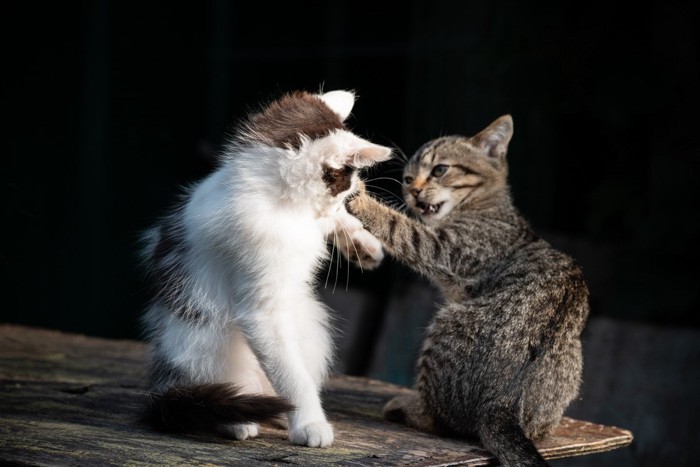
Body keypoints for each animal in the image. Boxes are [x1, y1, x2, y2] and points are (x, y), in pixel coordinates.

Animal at [141, 89, 394, 448]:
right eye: (342, 188)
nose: (336, 206)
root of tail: (163, 384)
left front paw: (361, 243)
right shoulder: (261, 308)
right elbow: (291, 374)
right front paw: (310, 423)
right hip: (202, 345)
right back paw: (235, 421)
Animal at [348, 114, 588, 467]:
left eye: (439, 170)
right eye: (407, 178)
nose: (412, 191)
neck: (485, 206)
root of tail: (501, 405)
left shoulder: (446, 251)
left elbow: (401, 228)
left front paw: (363, 198)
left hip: (445, 326)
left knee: (443, 422)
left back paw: (405, 409)